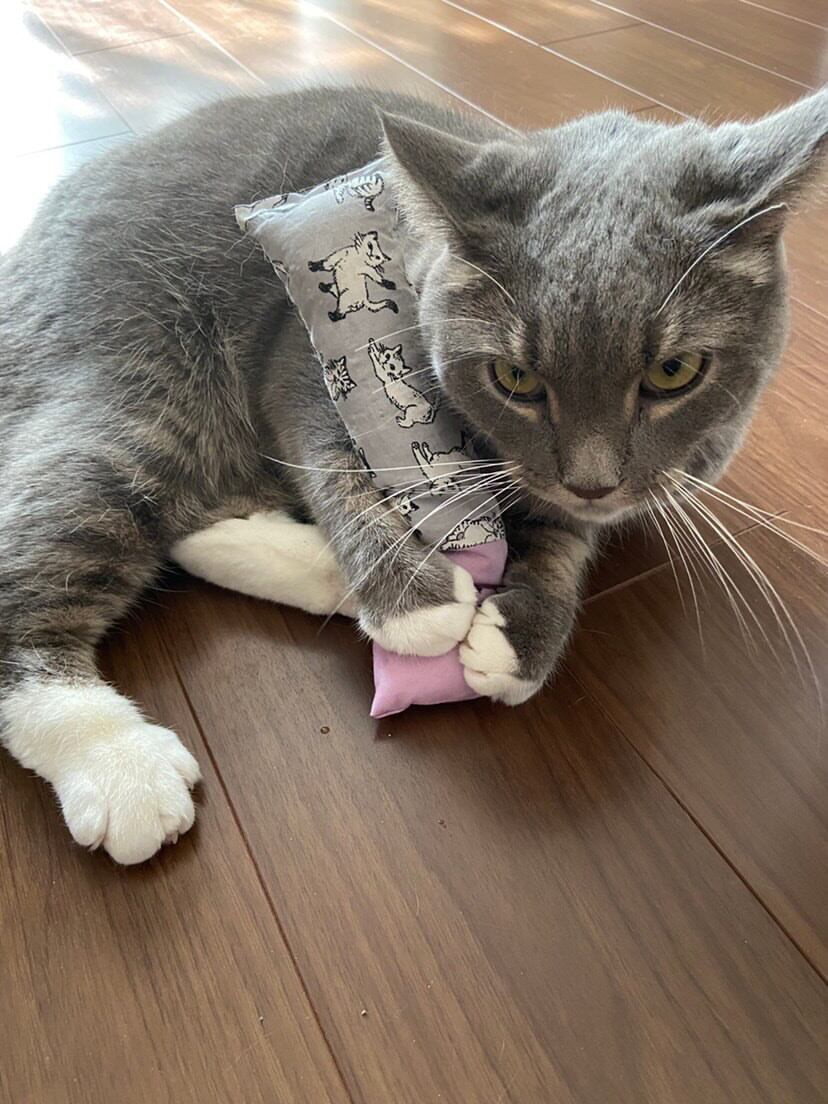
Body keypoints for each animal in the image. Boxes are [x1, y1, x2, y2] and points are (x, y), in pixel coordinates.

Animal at [1, 84, 824, 862]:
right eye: (516, 377)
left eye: (673, 372)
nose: (591, 479)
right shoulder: (297, 365)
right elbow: (334, 469)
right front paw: (412, 602)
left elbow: (566, 535)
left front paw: (521, 634)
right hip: (144, 383)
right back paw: (120, 764)